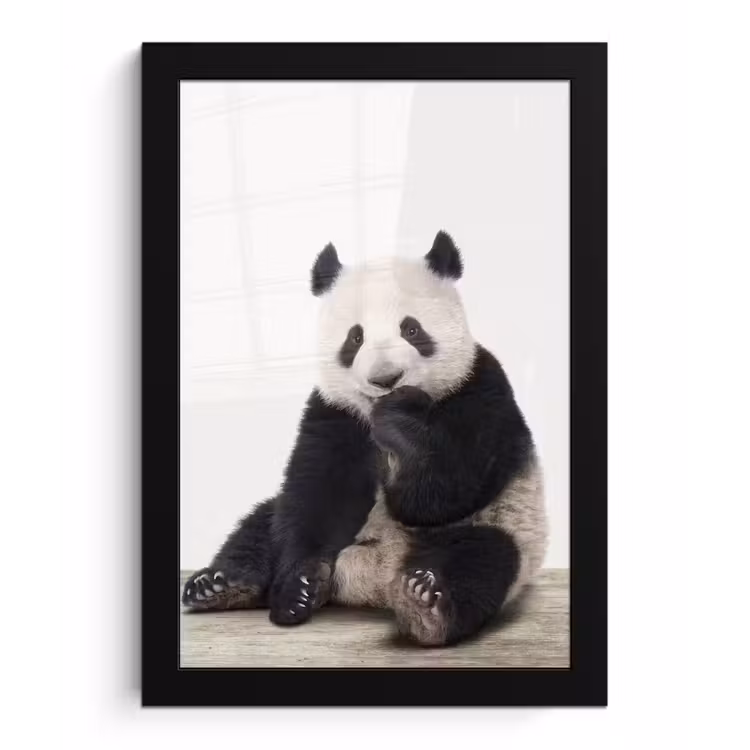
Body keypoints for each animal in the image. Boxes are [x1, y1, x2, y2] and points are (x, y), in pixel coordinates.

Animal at [182, 230, 548, 647]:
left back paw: (425, 604)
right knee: (262, 523)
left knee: (482, 558)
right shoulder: (335, 412)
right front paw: (300, 587)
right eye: (354, 338)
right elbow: (319, 495)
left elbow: (446, 490)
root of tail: (373, 581)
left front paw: (402, 421)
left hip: (503, 527)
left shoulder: (480, 389)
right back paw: (221, 585)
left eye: (412, 329)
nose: (386, 379)